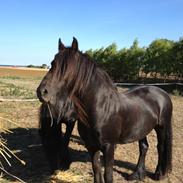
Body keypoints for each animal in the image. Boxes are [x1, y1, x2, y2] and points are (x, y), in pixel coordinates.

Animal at [36, 38, 172, 182]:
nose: (41, 92)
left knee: (161, 147)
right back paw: (137, 175)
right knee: (144, 147)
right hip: (142, 129)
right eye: (52, 63)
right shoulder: (91, 146)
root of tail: (162, 92)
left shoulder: (108, 147)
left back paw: (159, 174)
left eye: (68, 68)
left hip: (162, 127)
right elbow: (96, 170)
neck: (100, 108)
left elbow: (108, 176)